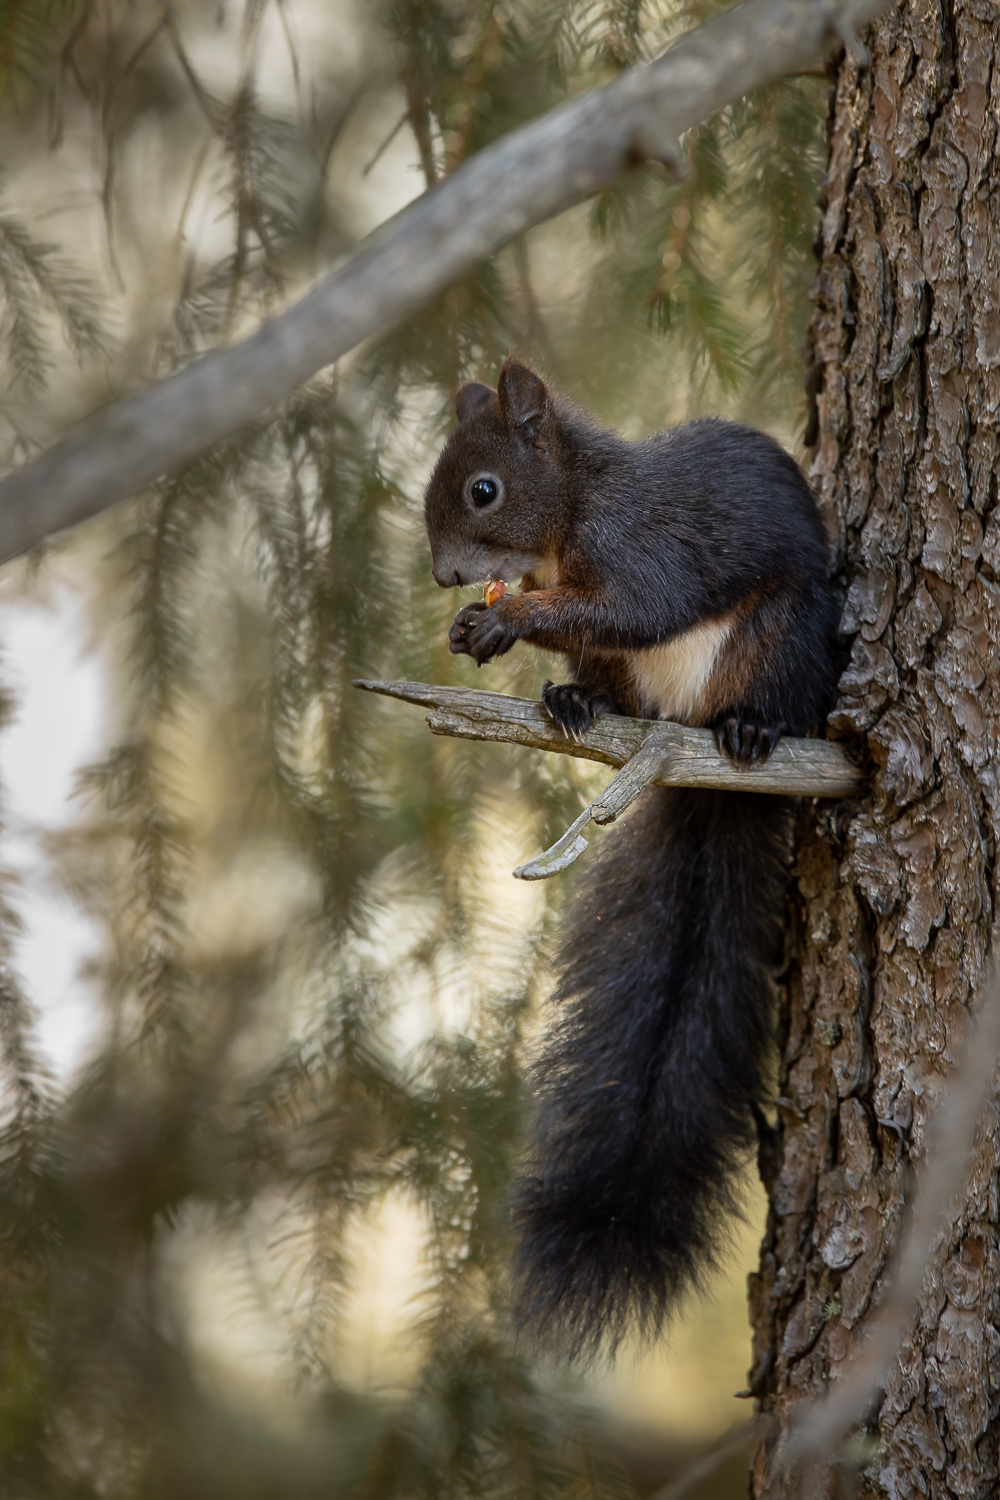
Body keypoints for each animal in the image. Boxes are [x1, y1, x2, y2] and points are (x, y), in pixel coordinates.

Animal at [419, 354, 839, 1362]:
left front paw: (506, 621)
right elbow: (597, 624)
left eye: (484, 490)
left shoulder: (645, 549)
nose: (447, 575)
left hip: (783, 637)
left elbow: (637, 606)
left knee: (763, 690)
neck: (570, 517)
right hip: (632, 684)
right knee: (611, 683)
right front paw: (475, 630)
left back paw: (751, 730)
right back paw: (576, 703)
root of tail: (682, 742)